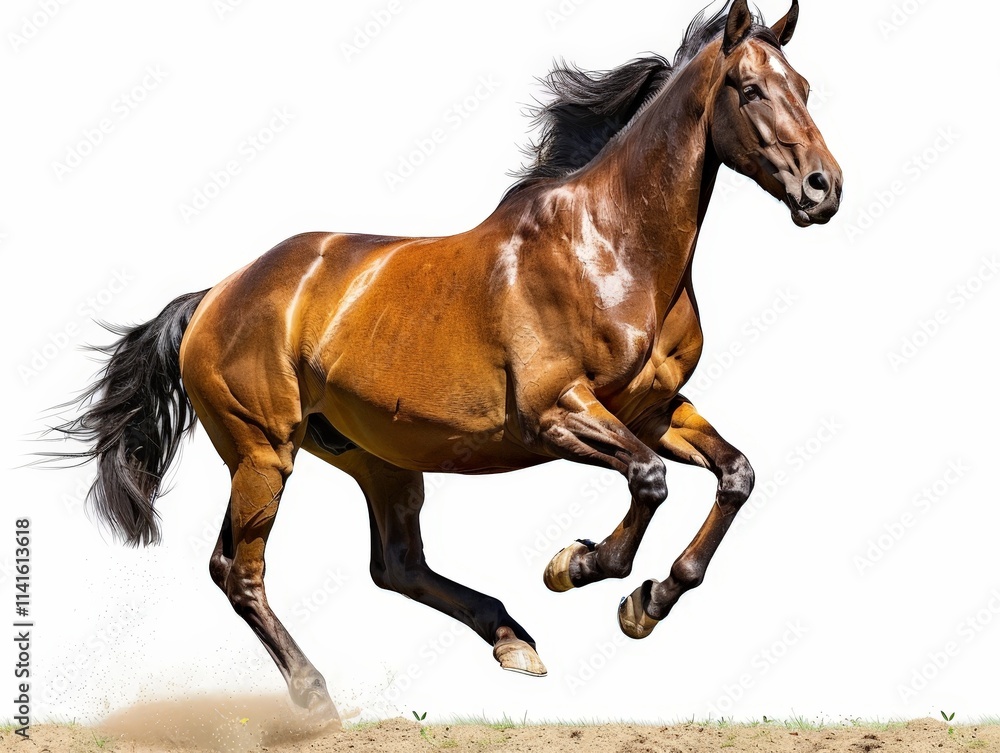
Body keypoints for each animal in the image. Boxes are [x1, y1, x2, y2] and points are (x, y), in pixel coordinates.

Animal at [52, 0, 841, 724]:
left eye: (803, 84)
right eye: (749, 89)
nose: (823, 188)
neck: (612, 249)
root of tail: (217, 292)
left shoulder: (652, 409)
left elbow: (735, 475)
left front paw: (648, 601)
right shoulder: (557, 413)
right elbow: (648, 483)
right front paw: (577, 565)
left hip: (377, 456)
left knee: (395, 564)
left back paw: (511, 639)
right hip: (263, 452)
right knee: (237, 570)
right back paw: (319, 699)